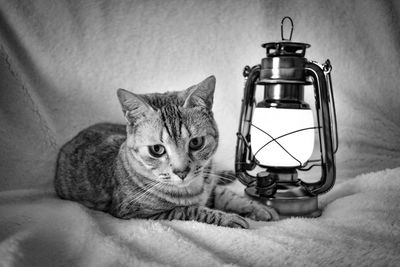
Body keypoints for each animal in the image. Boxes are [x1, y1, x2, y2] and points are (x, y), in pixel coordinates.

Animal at [54, 76, 278, 229]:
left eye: (196, 143)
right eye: (157, 150)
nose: (182, 172)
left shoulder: (209, 187)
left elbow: (228, 195)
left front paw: (258, 208)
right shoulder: (138, 213)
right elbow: (191, 210)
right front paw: (228, 218)